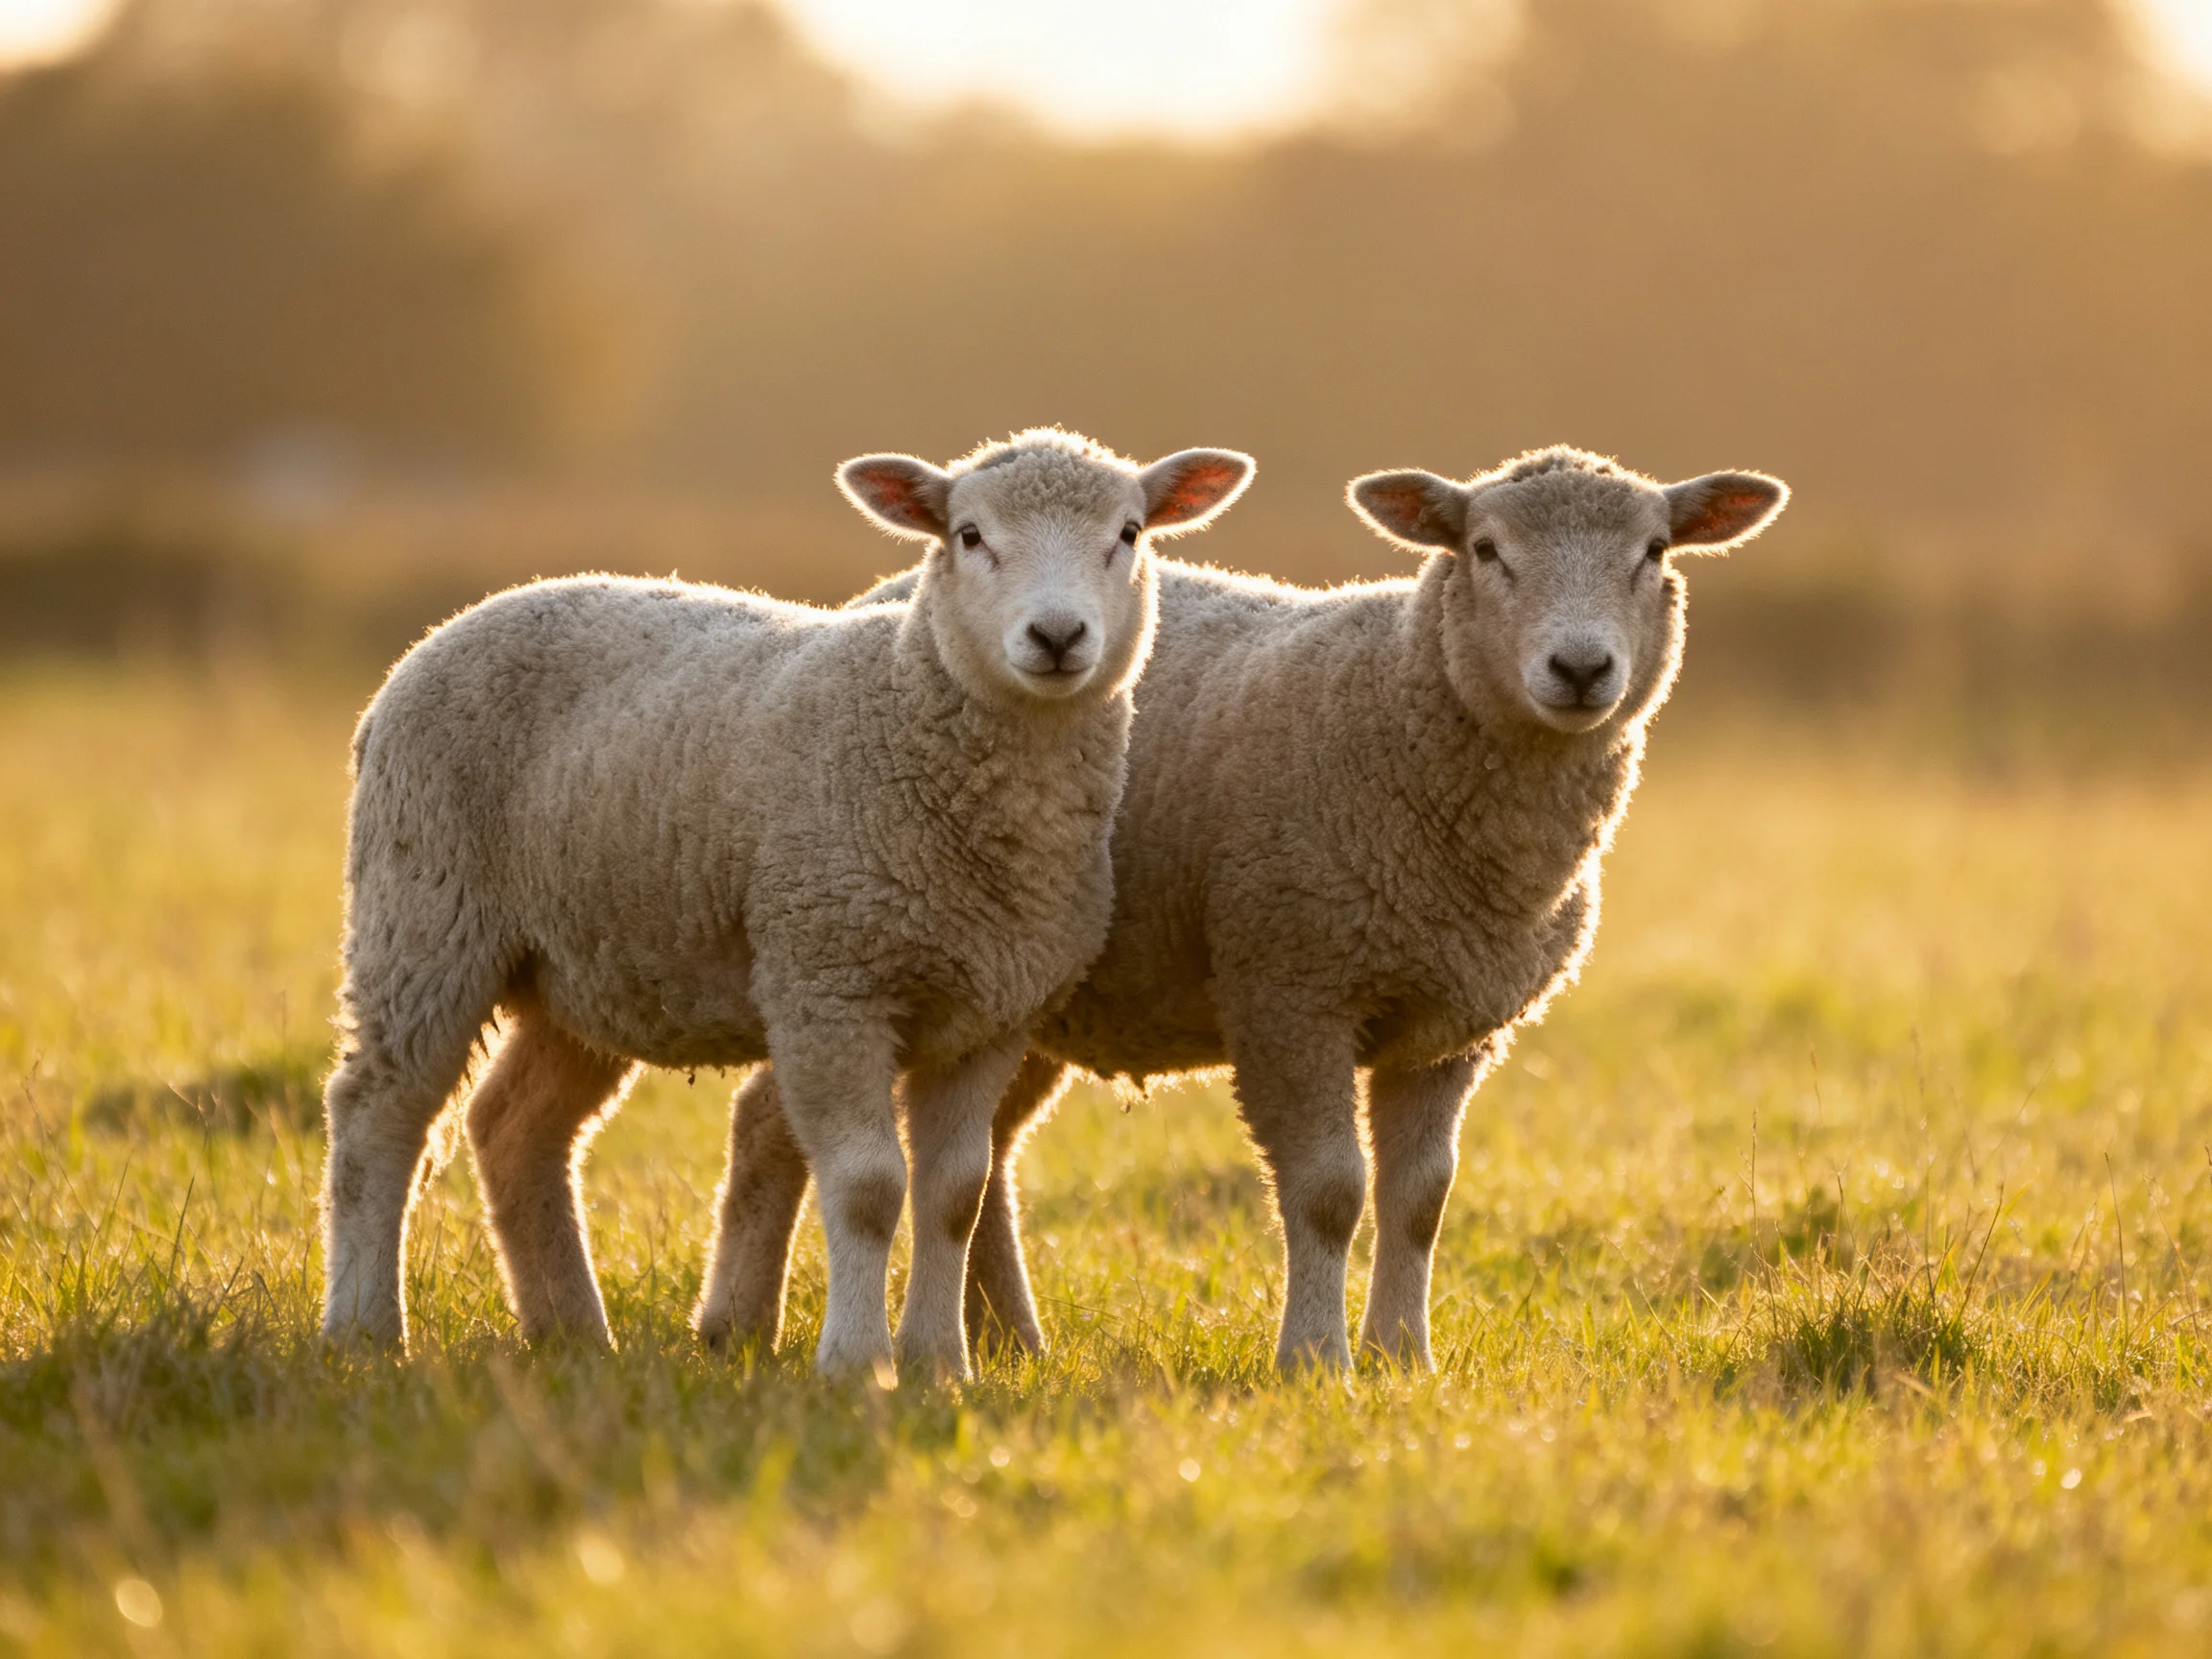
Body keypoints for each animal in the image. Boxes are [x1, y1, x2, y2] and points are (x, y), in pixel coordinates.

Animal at [317, 428, 1255, 1378]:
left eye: (1129, 533)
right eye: (968, 535)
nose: (1058, 634)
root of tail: (454, 625)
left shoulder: (991, 1010)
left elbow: (956, 1191)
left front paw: (939, 1366)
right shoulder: (828, 983)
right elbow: (870, 1186)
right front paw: (855, 1364)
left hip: (581, 967)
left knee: (514, 1125)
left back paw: (574, 1334)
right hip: (425, 911)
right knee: (377, 1115)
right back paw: (364, 1331)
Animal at [696, 446, 1787, 1373]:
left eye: (1654, 551)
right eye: (1485, 549)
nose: (1582, 669)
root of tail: (881, 598)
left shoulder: (1452, 1026)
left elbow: (1421, 1201)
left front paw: (1405, 1359)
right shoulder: (1290, 989)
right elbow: (1330, 1193)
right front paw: (1316, 1361)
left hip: (1018, 985)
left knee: (981, 1159)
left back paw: (1005, 1338)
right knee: (775, 1121)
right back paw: (746, 1329)